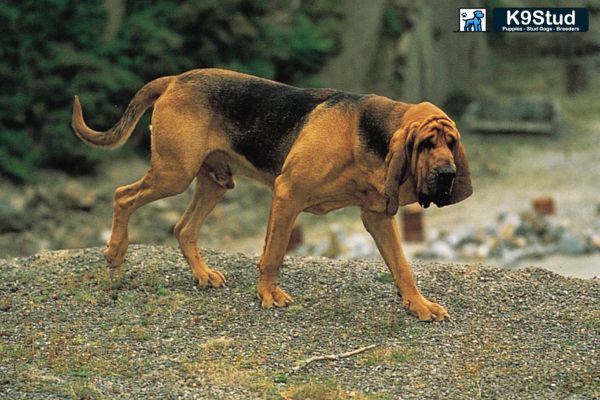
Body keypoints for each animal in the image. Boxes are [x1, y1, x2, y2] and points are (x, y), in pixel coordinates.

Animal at [71, 68, 474, 322]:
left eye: (452, 143)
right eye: (426, 144)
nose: (447, 175)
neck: (366, 134)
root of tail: (174, 79)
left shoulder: (377, 217)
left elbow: (402, 267)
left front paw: (419, 306)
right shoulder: (287, 195)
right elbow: (274, 253)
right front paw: (267, 295)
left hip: (214, 181)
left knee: (183, 229)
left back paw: (201, 274)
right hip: (174, 175)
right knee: (123, 196)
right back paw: (114, 256)